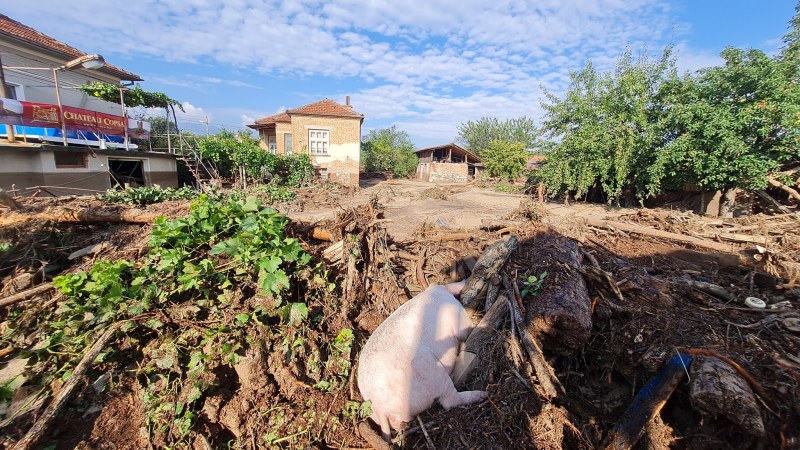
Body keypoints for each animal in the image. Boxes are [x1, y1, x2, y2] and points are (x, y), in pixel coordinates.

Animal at [358, 282, 488, 440]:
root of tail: (378, 403)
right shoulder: (457, 318)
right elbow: (466, 330)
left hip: (376, 411)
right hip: (430, 371)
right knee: (449, 401)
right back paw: (483, 394)